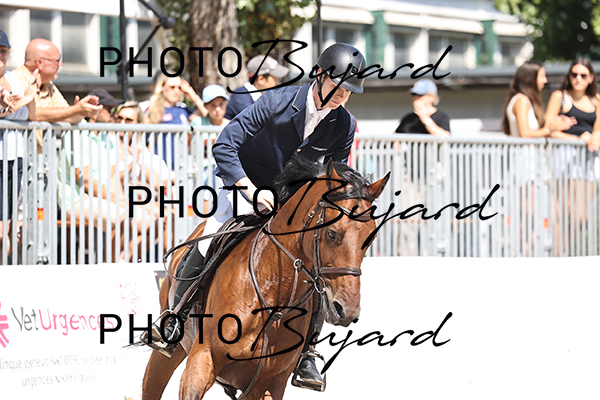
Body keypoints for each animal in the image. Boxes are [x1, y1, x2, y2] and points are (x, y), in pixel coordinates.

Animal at [141, 159, 390, 400]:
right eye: (332, 233)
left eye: (371, 238)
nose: (347, 311)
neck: (273, 297)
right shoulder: (202, 360)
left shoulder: (269, 384)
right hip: (169, 351)